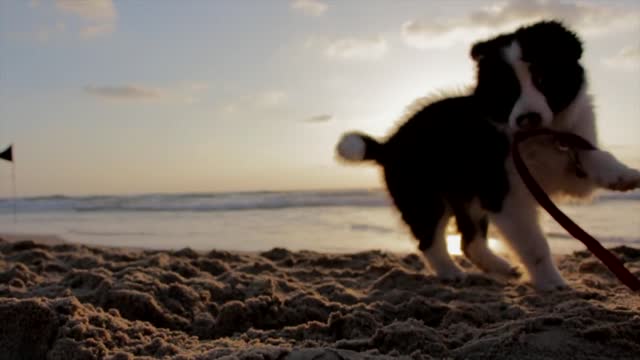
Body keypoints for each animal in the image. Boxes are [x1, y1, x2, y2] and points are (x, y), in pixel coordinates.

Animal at [332, 19, 640, 292]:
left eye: (543, 78)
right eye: (508, 90)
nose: (527, 118)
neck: (540, 138)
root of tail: (389, 144)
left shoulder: (569, 168)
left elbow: (591, 153)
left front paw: (623, 175)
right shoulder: (506, 195)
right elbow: (534, 244)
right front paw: (551, 282)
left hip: (468, 196)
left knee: (469, 242)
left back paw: (500, 267)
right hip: (426, 198)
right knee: (430, 240)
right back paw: (451, 273)